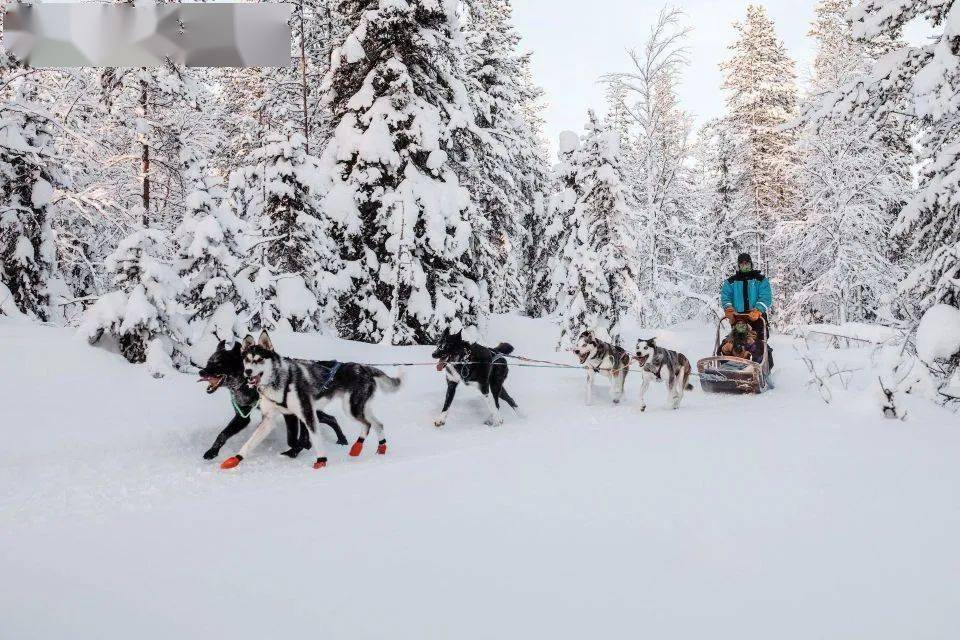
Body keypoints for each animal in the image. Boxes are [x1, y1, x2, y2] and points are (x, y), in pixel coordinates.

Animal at [197, 340, 346, 460]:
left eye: (219, 363)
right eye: (209, 362)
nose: (201, 372)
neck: (247, 384)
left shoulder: (290, 414)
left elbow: (292, 439)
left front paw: (299, 448)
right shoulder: (242, 416)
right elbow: (222, 434)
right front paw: (212, 451)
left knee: (328, 420)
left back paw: (340, 439)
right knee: (330, 419)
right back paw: (341, 439)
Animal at [220, 332, 402, 468]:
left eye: (259, 359)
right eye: (247, 359)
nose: (248, 372)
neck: (279, 380)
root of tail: (364, 367)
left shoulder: (307, 413)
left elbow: (315, 439)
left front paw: (321, 461)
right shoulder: (270, 419)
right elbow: (250, 443)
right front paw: (235, 459)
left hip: (352, 409)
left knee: (368, 424)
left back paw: (358, 447)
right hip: (358, 408)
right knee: (378, 424)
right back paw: (379, 447)